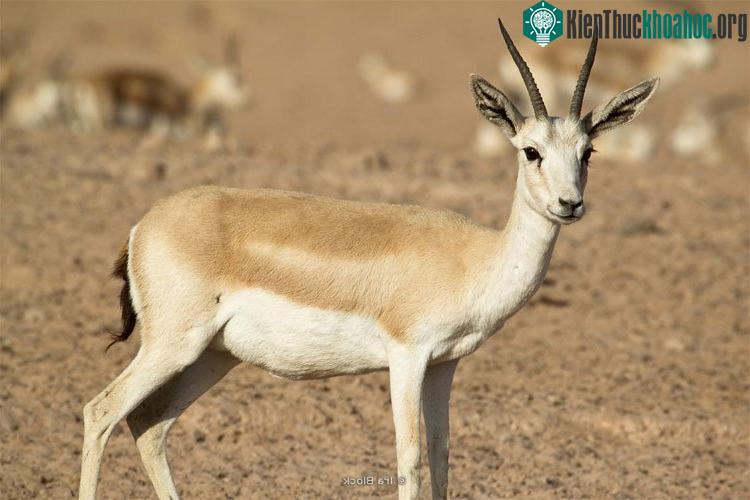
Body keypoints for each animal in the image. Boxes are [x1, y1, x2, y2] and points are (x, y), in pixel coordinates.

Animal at [79, 20, 658, 500]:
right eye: (530, 150)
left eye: (588, 152)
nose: (569, 204)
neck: (474, 257)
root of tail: (143, 226)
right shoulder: (407, 357)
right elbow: (409, 457)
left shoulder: (445, 366)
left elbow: (443, 454)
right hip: (173, 346)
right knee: (101, 410)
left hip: (212, 355)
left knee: (149, 425)